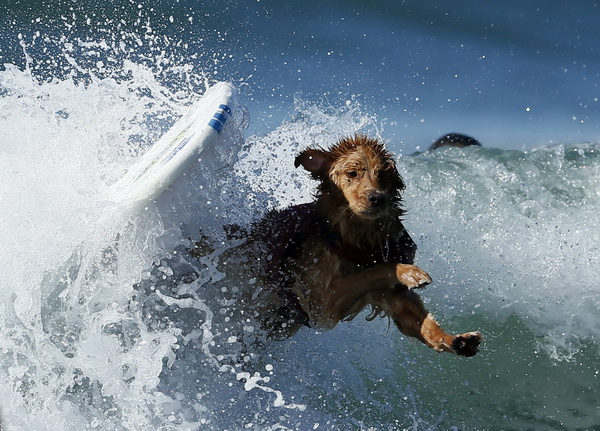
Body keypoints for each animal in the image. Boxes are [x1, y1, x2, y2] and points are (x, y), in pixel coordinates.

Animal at [252, 135, 482, 358]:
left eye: (382, 174)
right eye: (352, 173)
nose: (378, 198)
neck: (353, 236)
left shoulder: (389, 296)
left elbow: (419, 322)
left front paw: (454, 340)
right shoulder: (321, 306)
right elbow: (374, 271)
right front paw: (410, 273)